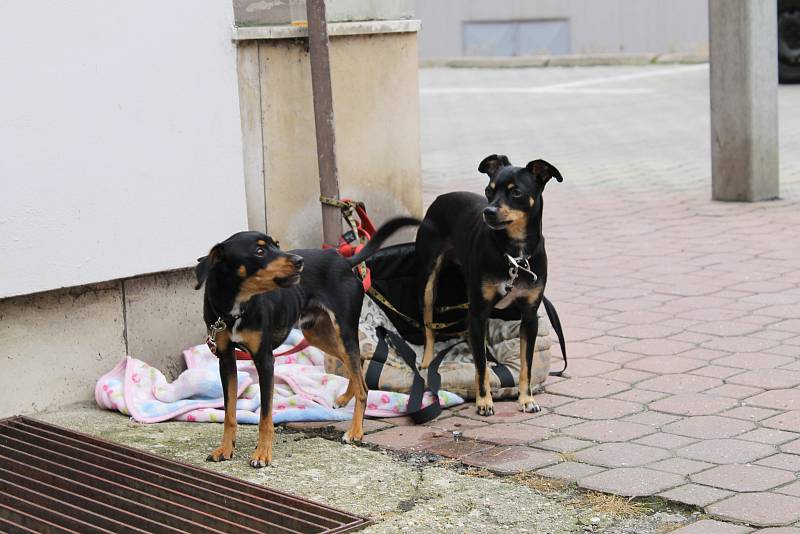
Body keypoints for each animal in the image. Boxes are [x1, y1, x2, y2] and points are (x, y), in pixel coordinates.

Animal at [195, 218, 418, 468]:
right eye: (259, 251)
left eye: (277, 244)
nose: (299, 261)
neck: (236, 307)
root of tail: (344, 261)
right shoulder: (225, 359)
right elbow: (229, 413)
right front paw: (225, 449)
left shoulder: (265, 360)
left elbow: (265, 417)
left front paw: (262, 454)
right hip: (318, 334)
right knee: (356, 365)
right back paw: (345, 398)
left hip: (343, 330)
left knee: (363, 385)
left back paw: (355, 431)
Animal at [416, 155, 564, 418]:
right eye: (488, 190)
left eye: (516, 192)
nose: (489, 211)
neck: (515, 254)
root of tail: (440, 198)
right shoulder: (478, 312)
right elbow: (481, 367)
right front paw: (484, 401)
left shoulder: (529, 317)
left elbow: (526, 365)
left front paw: (526, 399)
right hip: (429, 285)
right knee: (429, 326)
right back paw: (426, 361)